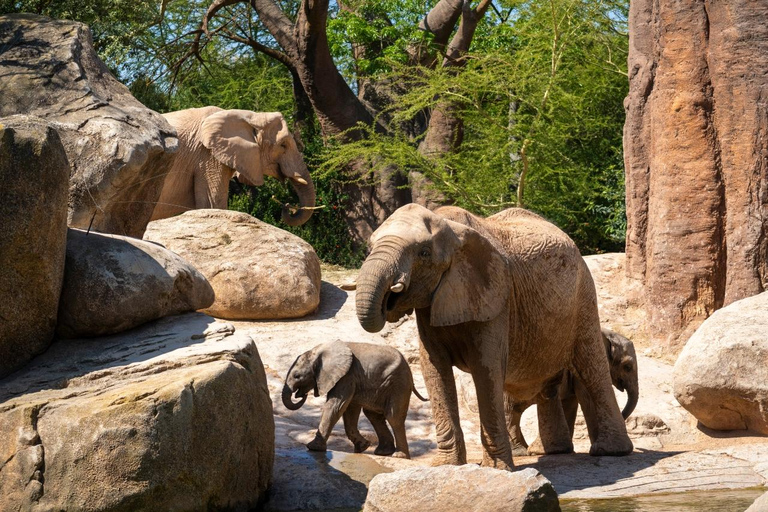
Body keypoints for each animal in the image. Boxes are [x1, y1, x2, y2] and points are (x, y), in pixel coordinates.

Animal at [280, 342, 426, 458]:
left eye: (297, 376)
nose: (301, 395)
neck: (318, 352)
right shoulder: (352, 378)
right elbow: (349, 409)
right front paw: (362, 447)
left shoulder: (346, 376)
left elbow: (335, 406)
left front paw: (313, 448)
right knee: (373, 416)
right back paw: (383, 452)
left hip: (398, 384)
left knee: (393, 417)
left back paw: (399, 456)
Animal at [508, 328, 640, 456]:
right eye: (627, 367)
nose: (623, 416)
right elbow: (586, 399)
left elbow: (570, 403)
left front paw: (570, 451)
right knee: (511, 411)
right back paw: (521, 452)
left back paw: (526, 450)